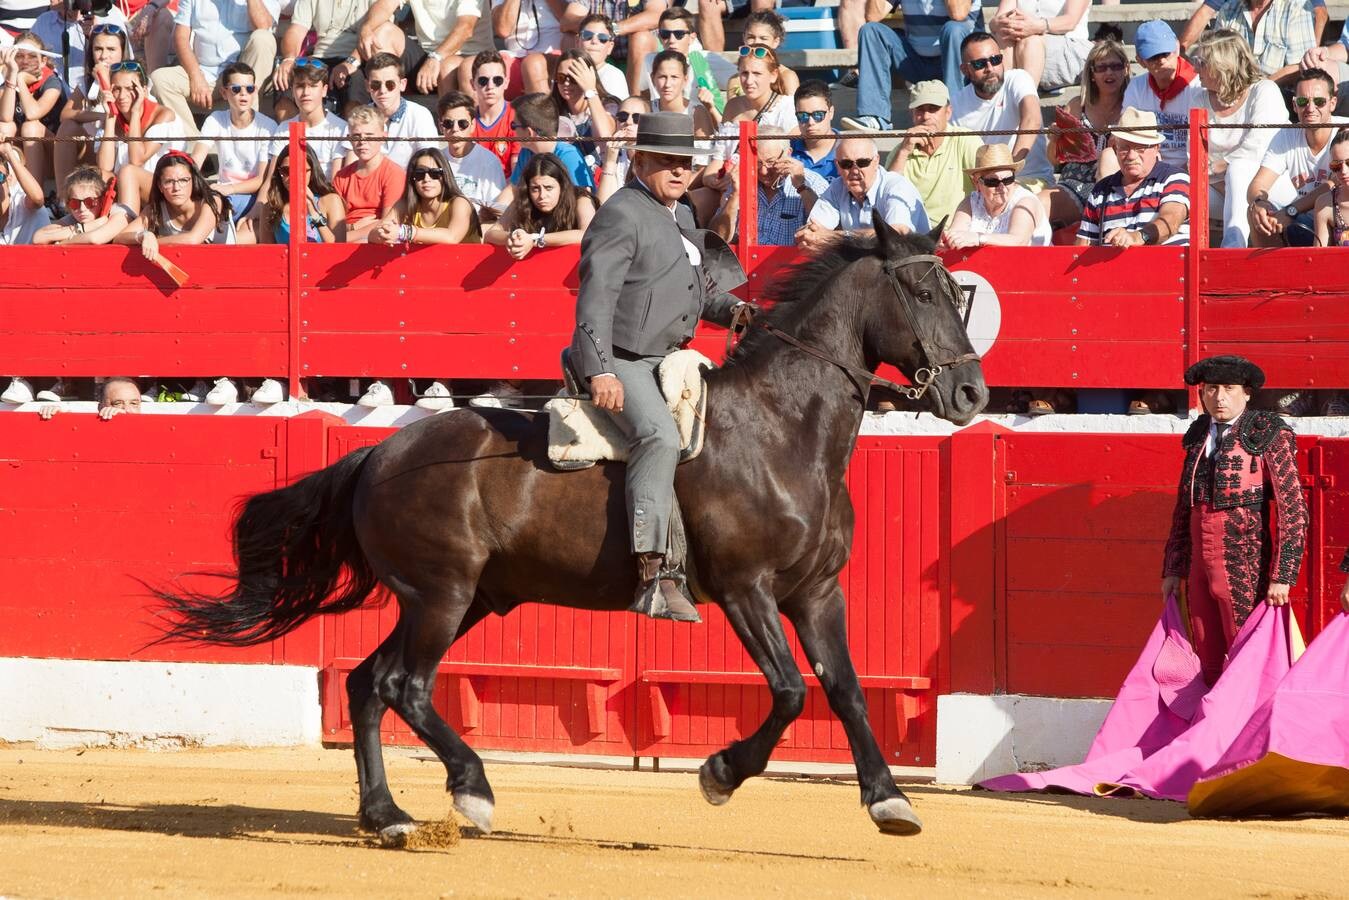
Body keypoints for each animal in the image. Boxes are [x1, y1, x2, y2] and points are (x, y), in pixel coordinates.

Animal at [157, 215, 992, 847]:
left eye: (960, 291)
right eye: (921, 289)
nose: (971, 393)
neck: (780, 429)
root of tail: (376, 453)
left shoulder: (817, 593)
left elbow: (844, 688)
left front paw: (889, 801)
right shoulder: (745, 590)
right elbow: (790, 691)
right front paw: (718, 774)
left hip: (461, 599)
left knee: (368, 683)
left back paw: (387, 816)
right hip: (441, 595)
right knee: (404, 685)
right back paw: (470, 792)